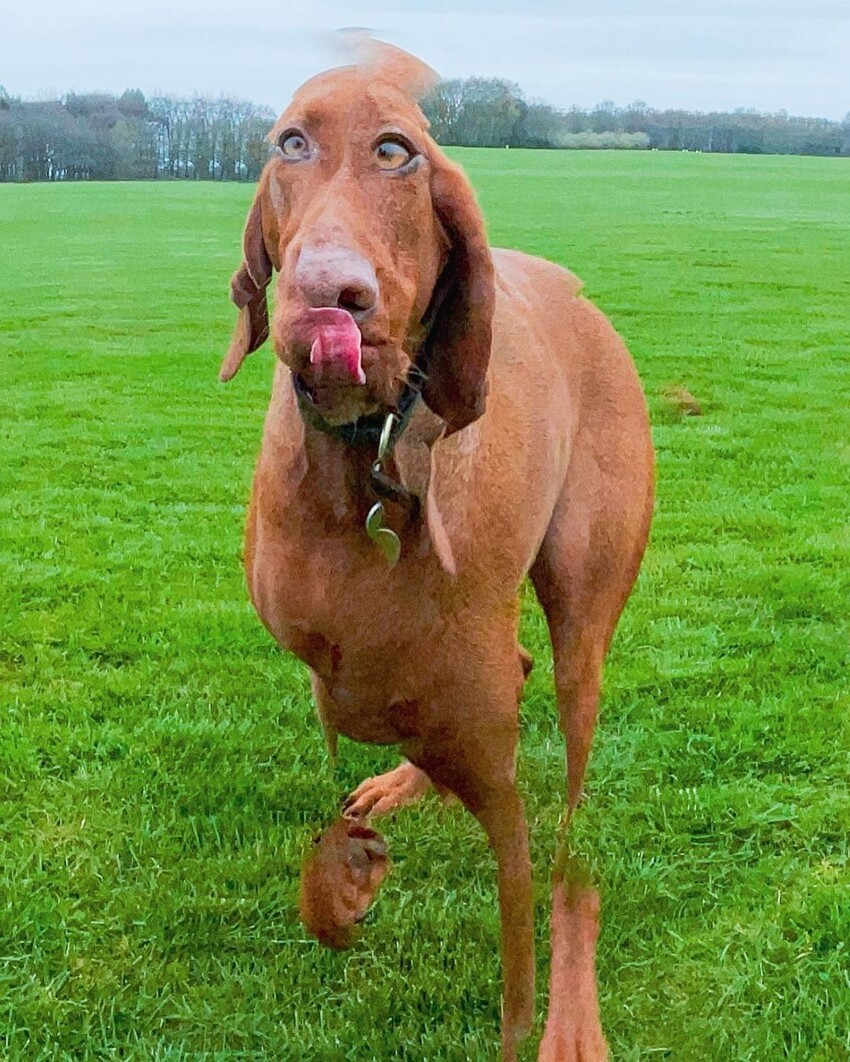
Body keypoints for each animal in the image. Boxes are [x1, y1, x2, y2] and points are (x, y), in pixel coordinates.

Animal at [217, 41, 650, 1062]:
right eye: (290, 142)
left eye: (397, 152)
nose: (328, 297)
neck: (367, 466)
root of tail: (577, 292)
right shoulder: (338, 673)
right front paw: (345, 877)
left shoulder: (499, 783)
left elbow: (527, 949)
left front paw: (551, 1017)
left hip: (585, 618)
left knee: (575, 815)